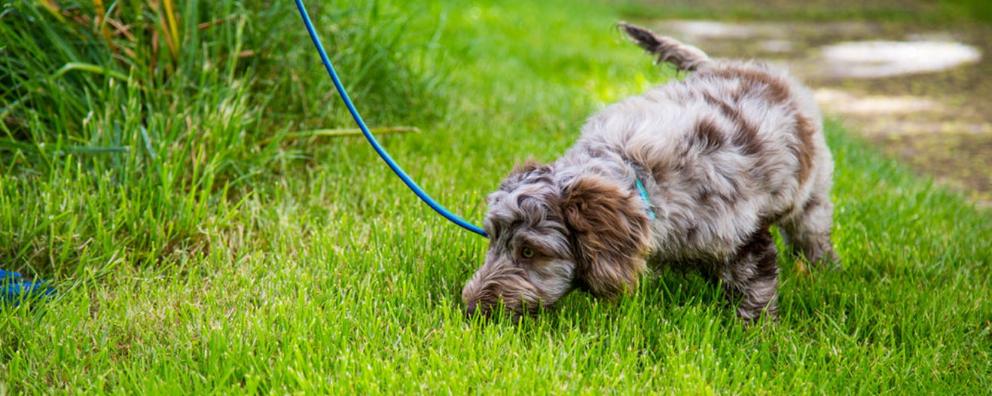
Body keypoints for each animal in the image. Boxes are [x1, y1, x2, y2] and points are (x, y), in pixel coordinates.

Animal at [464, 22, 836, 322]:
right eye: (492, 239)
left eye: (529, 251)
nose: (469, 308)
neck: (641, 174)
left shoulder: (744, 235)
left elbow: (755, 288)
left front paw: (756, 332)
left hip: (812, 194)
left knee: (812, 233)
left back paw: (823, 270)